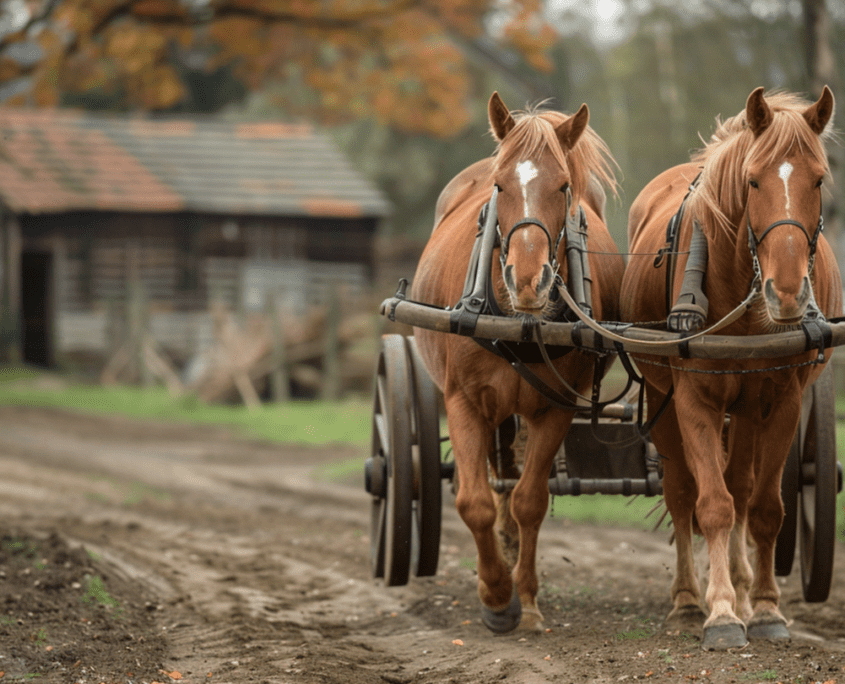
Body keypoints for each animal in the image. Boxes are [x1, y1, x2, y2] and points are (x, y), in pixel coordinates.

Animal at [412, 93, 624, 632]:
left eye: (564, 186)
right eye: (500, 184)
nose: (528, 280)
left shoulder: (555, 408)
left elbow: (530, 500)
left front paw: (524, 596)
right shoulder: (464, 403)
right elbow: (474, 501)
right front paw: (495, 595)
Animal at [616, 88, 840, 648]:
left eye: (819, 178)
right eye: (753, 180)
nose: (786, 293)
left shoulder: (781, 400)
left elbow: (762, 508)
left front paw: (763, 607)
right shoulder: (694, 398)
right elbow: (712, 504)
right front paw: (719, 613)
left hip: (746, 407)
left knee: (741, 487)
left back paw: (740, 584)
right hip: (665, 400)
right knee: (682, 493)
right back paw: (687, 599)